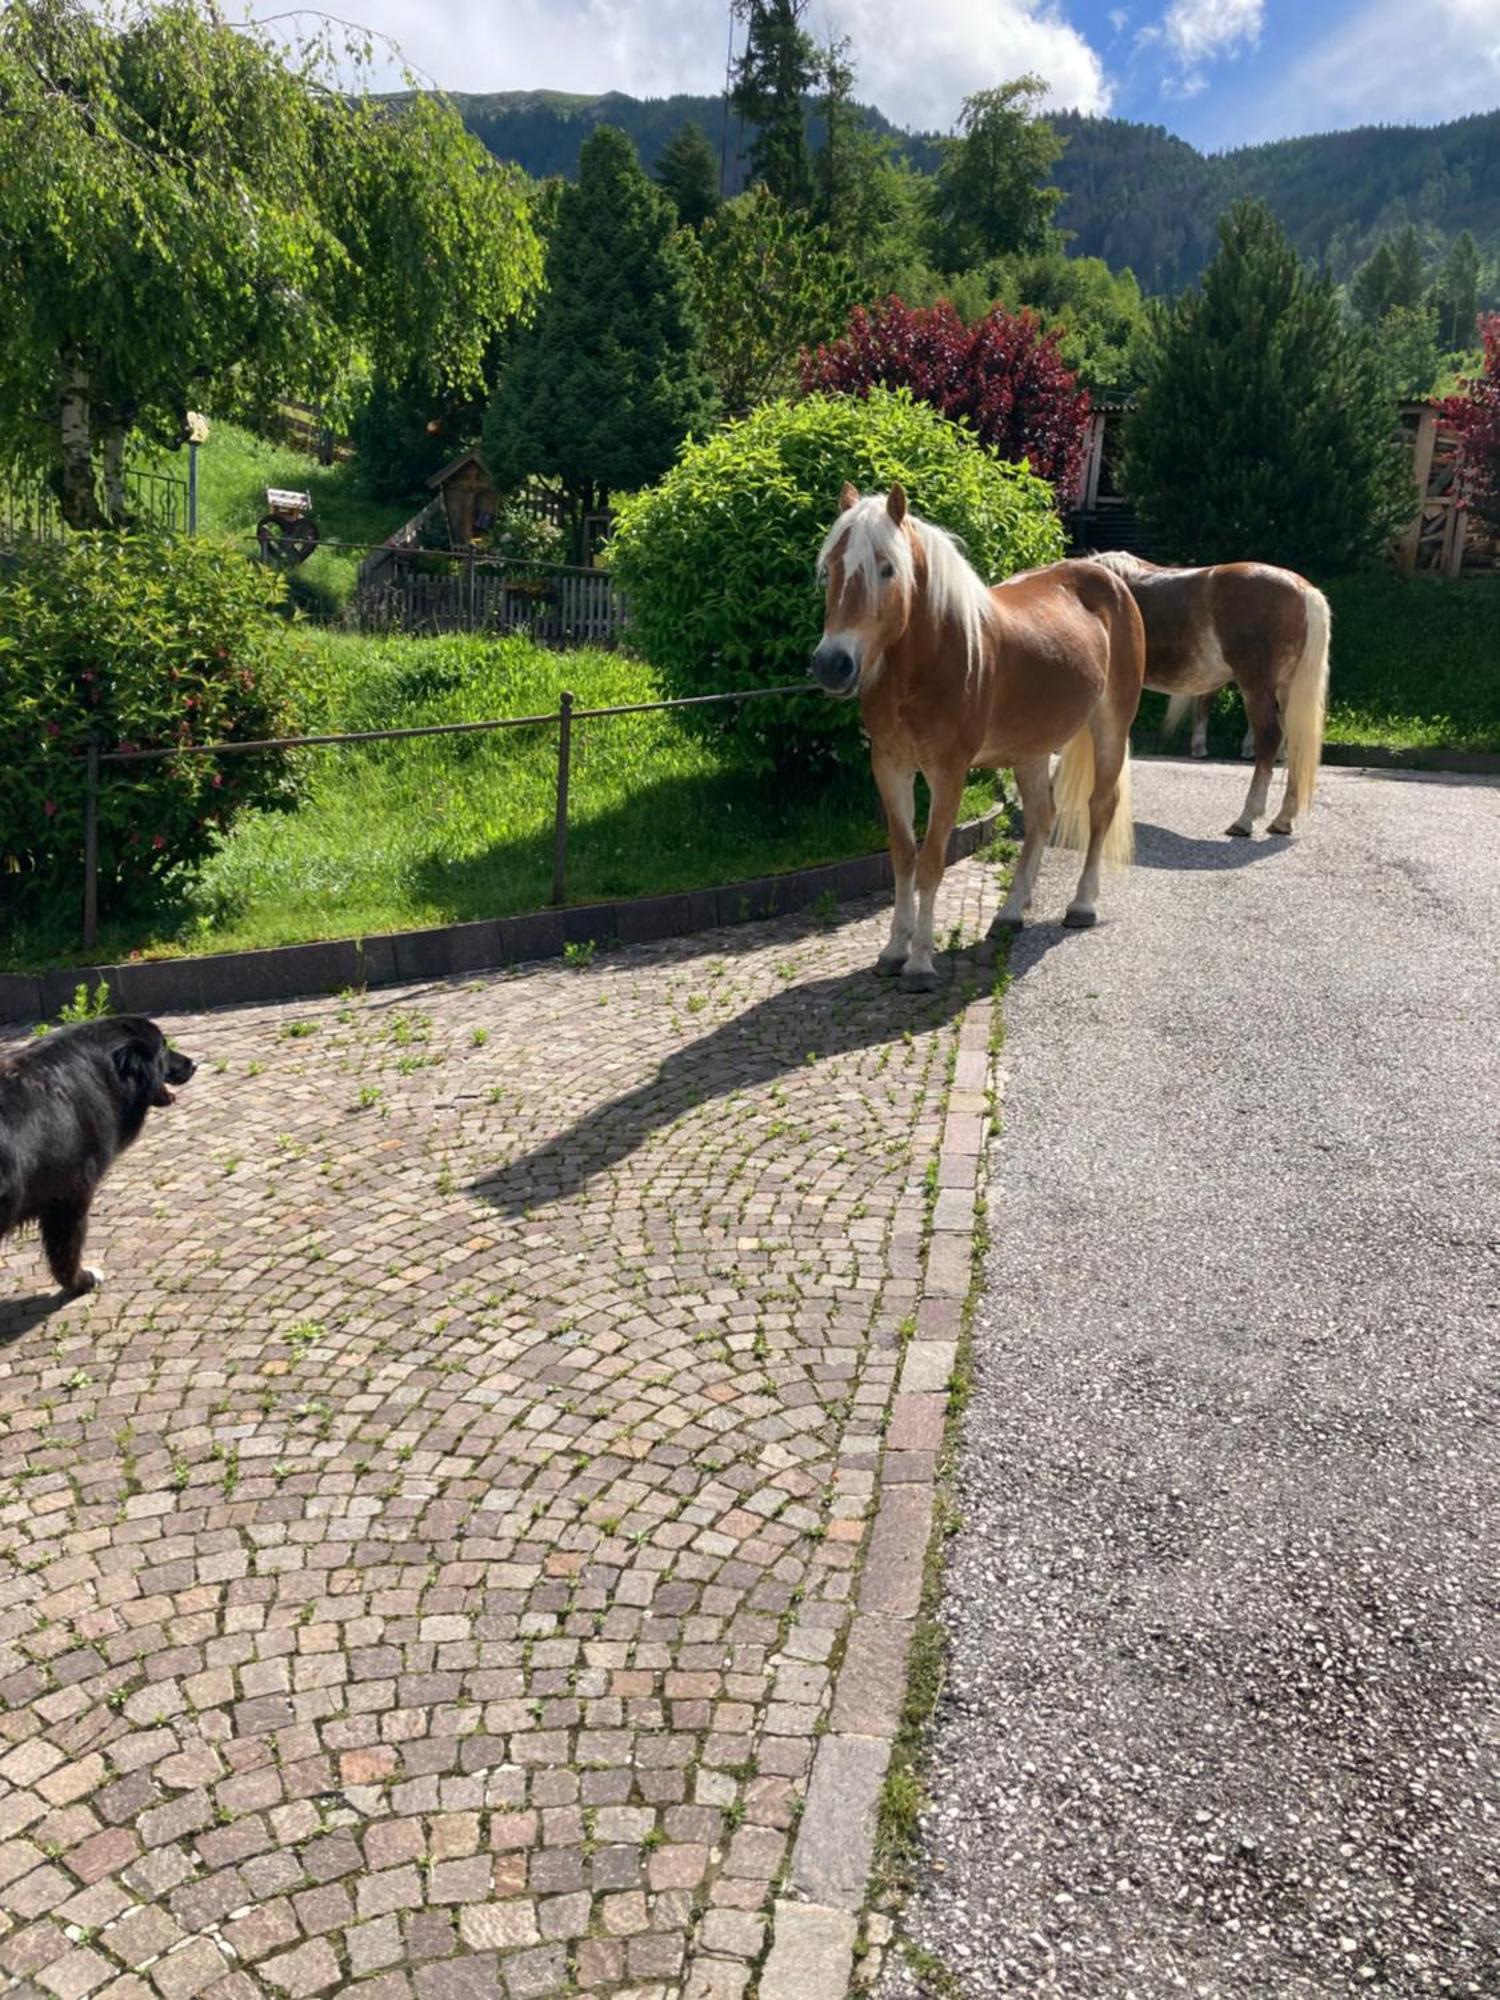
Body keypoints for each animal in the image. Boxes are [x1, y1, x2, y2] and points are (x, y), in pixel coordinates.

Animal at [0, 1016, 197, 1296]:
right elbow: (67, 1250)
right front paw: (80, 1281)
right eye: (163, 1048)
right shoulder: (71, 1195)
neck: (103, 1073)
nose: (194, 1064)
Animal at [816, 484, 1144, 984]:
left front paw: (920, 961)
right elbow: (903, 857)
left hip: (1110, 725)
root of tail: (1109, 576)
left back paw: (1082, 906)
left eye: (887, 568)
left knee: (1100, 807)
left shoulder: (949, 773)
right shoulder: (890, 767)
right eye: (831, 566)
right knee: (1041, 819)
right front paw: (893, 950)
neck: (932, 660)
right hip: (1030, 750)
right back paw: (1009, 914)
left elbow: (932, 861)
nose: (832, 664)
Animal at [1096, 548, 1328, 836]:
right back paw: (1283, 819)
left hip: (1257, 686)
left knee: (1269, 739)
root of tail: (1304, 590)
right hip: (1287, 693)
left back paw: (1245, 819)